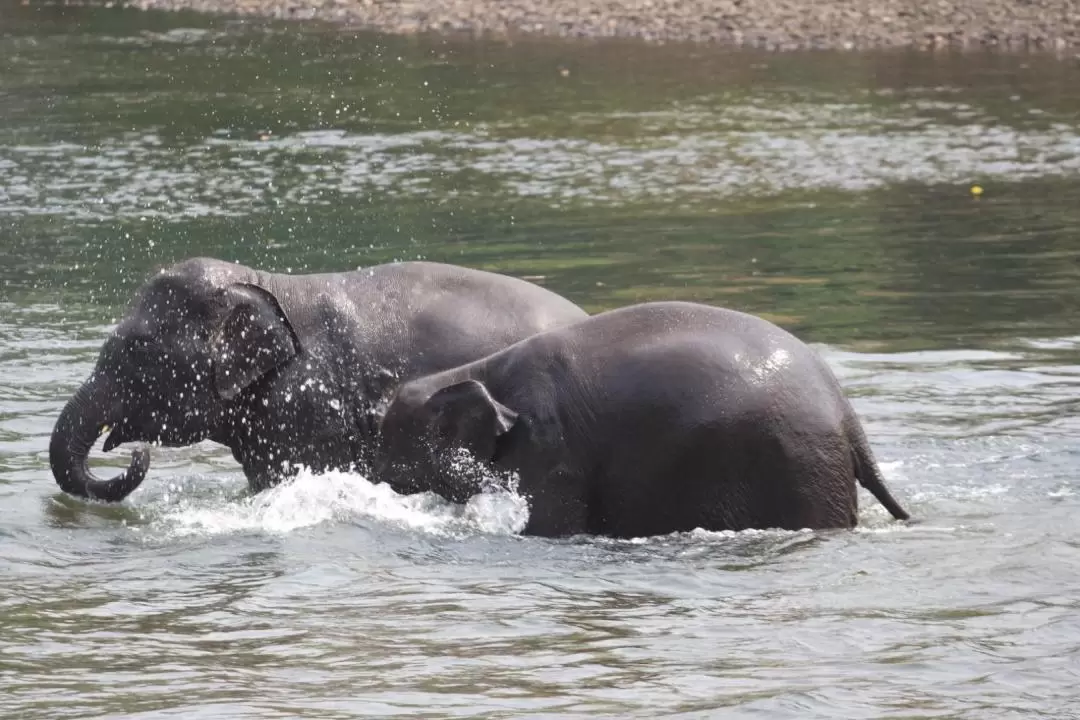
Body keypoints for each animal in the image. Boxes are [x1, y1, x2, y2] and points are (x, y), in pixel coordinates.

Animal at [373, 300, 911, 539]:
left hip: (798, 464)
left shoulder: (551, 449)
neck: (479, 370)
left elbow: (550, 525)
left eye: (387, 446)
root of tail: (848, 418)